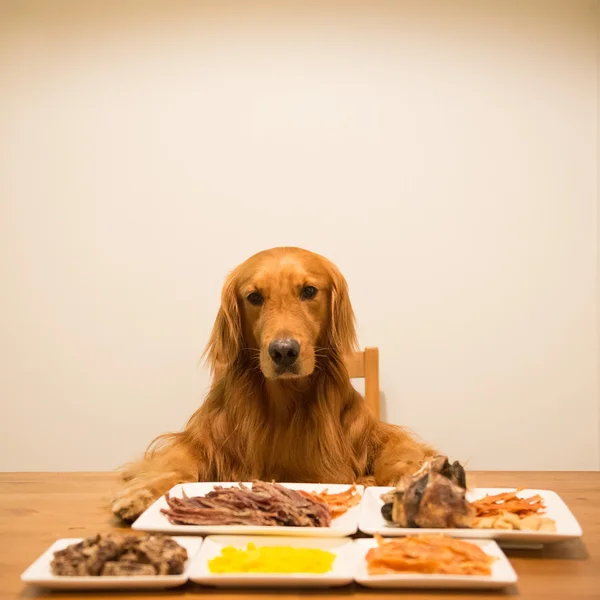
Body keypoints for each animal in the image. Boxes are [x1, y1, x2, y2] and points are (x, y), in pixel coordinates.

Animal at [111, 246, 432, 516]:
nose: (284, 351)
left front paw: (411, 480)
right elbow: (176, 465)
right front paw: (141, 493)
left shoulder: (373, 435)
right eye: (254, 297)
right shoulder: (198, 441)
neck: (285, 400)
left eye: (309, 291)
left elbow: (399, 454)